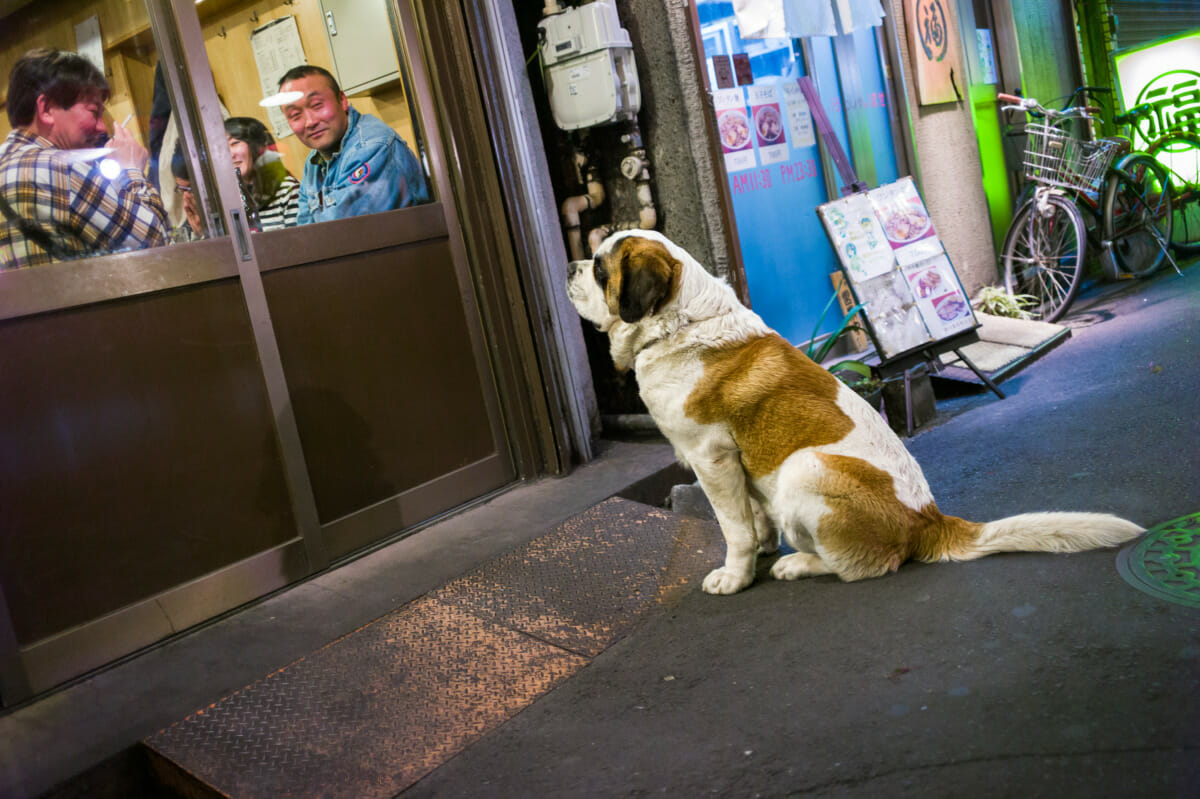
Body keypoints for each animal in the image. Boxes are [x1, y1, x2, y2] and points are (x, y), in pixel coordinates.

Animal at [566, 229, 1147, 590]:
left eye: (600, 269)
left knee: (860, 569)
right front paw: (760, 550)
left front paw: (735, 576)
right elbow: (754, 519)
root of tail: (929, 521)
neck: (679, 322)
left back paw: (800, 565)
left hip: (804, 467)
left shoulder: (712, 458)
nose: (571, 265)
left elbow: (733, 528)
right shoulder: (735, 461)